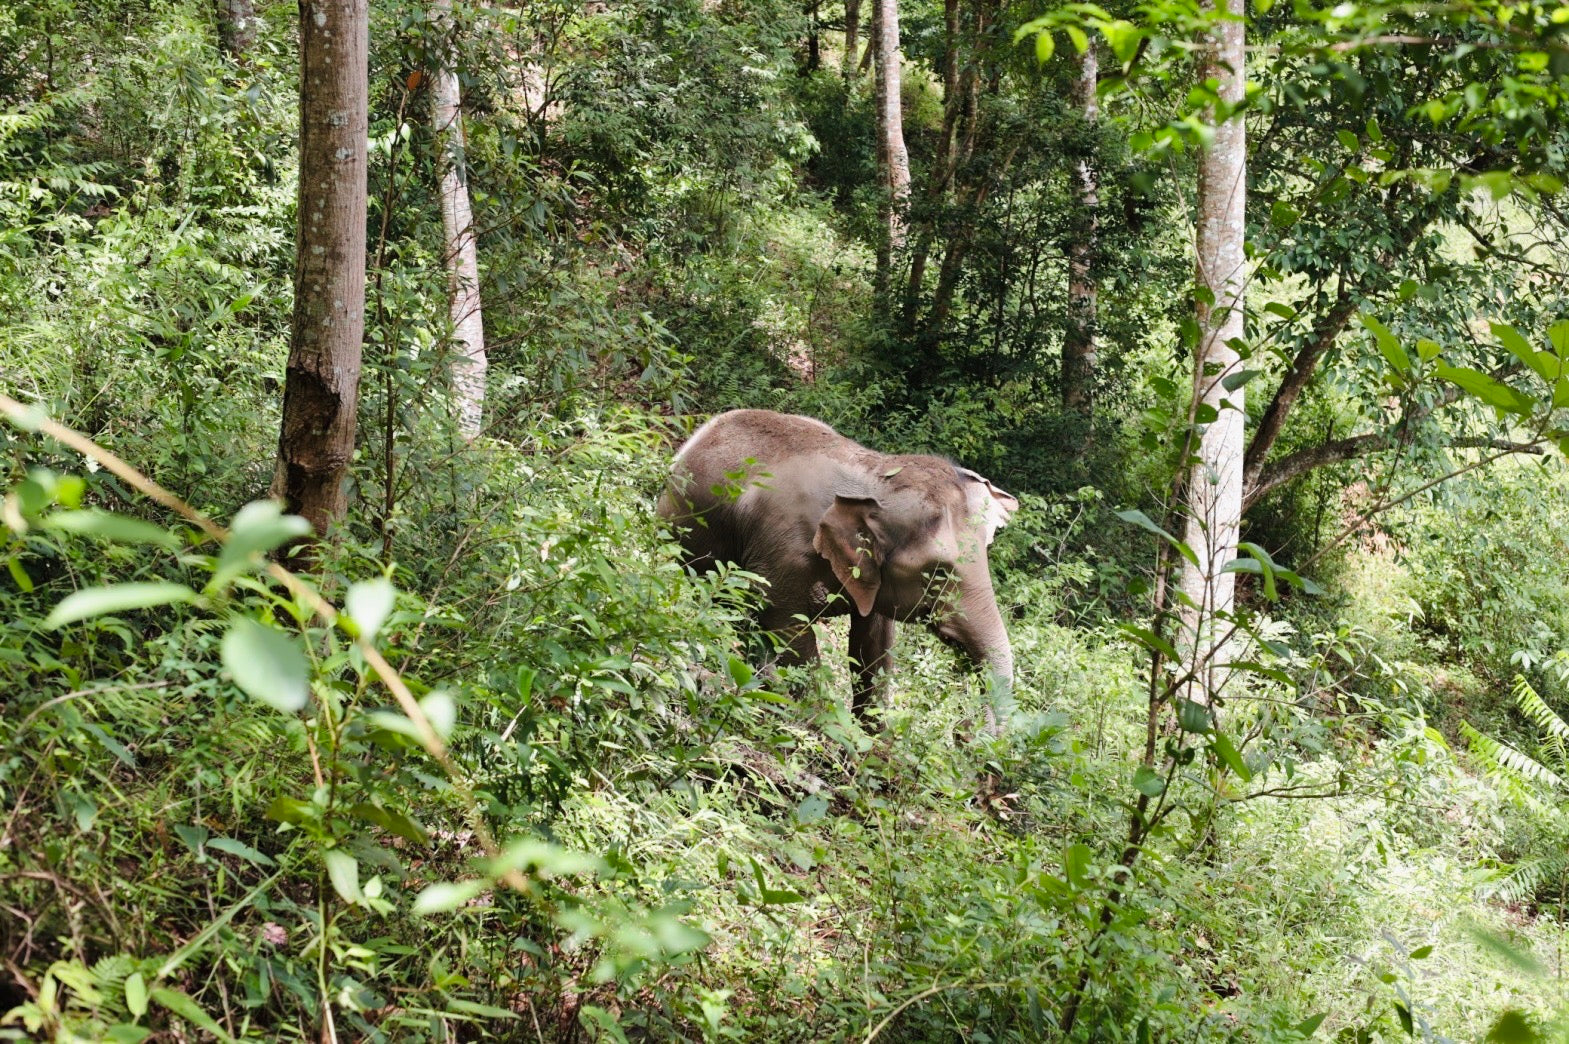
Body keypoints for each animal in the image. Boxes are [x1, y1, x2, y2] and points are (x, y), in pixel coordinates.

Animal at [658, 409, 1019, 731]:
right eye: (937, 572)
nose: (965, 728)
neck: (875, 475)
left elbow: (873, 644)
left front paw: (874, 738)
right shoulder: (784, 556)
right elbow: (788, 630)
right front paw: (820, 722)